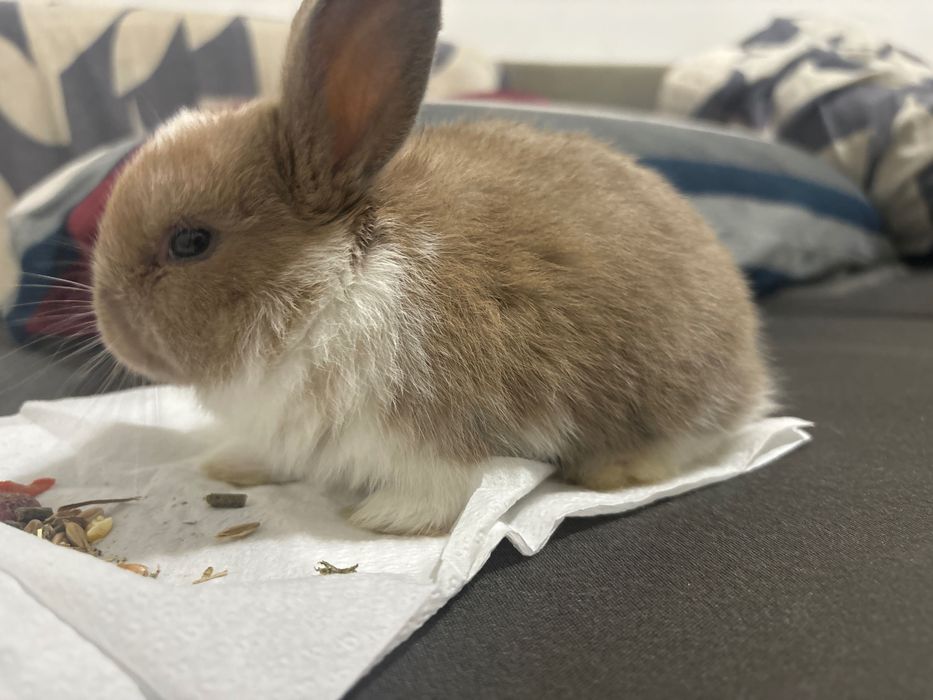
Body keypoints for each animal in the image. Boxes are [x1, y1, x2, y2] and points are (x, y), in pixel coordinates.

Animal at [91, 0, 772, 536]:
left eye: (191, 242)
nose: (111, 328)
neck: (335, 281)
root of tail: (751, 364)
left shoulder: (435, 428)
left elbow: (444, 492)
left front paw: (382, 518)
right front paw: (229, 465)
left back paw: (612, 469)